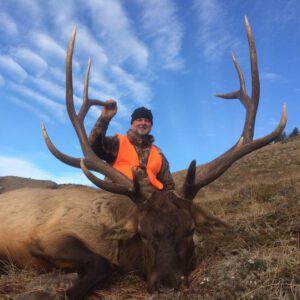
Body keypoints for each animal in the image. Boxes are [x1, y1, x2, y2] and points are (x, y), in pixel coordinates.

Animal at [0, 17, 286, 300]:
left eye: (190, 230)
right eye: (143, 233)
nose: (167, 283)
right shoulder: (50, 236)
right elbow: (101, 264)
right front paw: (65, 290)